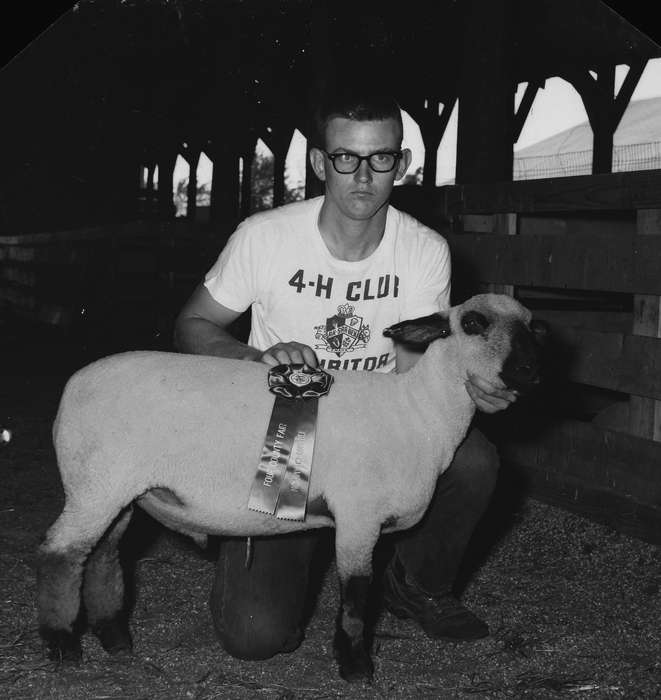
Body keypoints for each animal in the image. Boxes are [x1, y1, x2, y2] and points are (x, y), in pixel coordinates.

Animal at [36, 293, 543, 683]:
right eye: (474, 323)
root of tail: (71, 388)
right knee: (60, 555)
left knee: (101, 556)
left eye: (533, 326)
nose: (533, 369)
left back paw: (114, 638)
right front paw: (355, 666)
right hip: (95, 484)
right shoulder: (359, 515)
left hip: (118, 490)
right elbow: (356, 596)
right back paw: (62, 645)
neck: (419, 414)